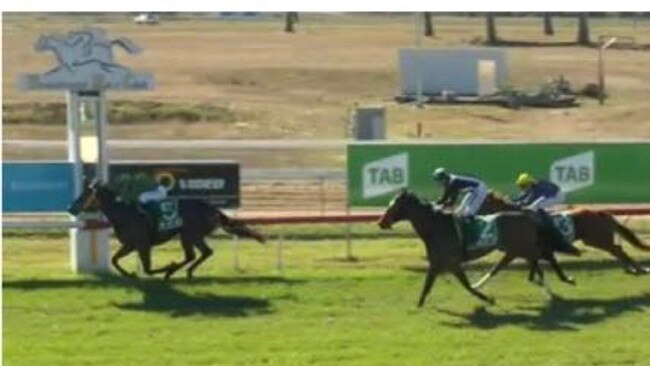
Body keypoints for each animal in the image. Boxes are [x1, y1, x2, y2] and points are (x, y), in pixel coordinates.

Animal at [68, 181, 266, 280]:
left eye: (84, 195)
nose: (71, 208)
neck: (125, 214)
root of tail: (212, 209)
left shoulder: (142, 245)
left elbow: (147, 269)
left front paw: (166, 268)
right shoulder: (130, 245)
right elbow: (114, 260)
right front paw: (129, 274)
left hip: (188, 234)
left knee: (193, 255)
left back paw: (174, 271)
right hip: (192, 236)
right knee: (203, 253)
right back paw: (187, 272)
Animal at [374, 190, 572, 308]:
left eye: (394, 205)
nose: (381, 222)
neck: (436, 227)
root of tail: (526, 215)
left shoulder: (451, 262)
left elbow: (466, 285)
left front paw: (488, 299)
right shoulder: (438, 263)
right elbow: (428, 285)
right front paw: (419, 304)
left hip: (522, 247)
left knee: (541, 257)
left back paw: (555, 286)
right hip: (515, 248)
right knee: (536, 259)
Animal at [476, 193, 648, 276]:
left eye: (482, 204)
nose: (474, 214)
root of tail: (600, 212)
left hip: (598, 239)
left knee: (618, 249)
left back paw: (639, 268)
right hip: (596, 240)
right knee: (617, 250)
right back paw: (631, 268)